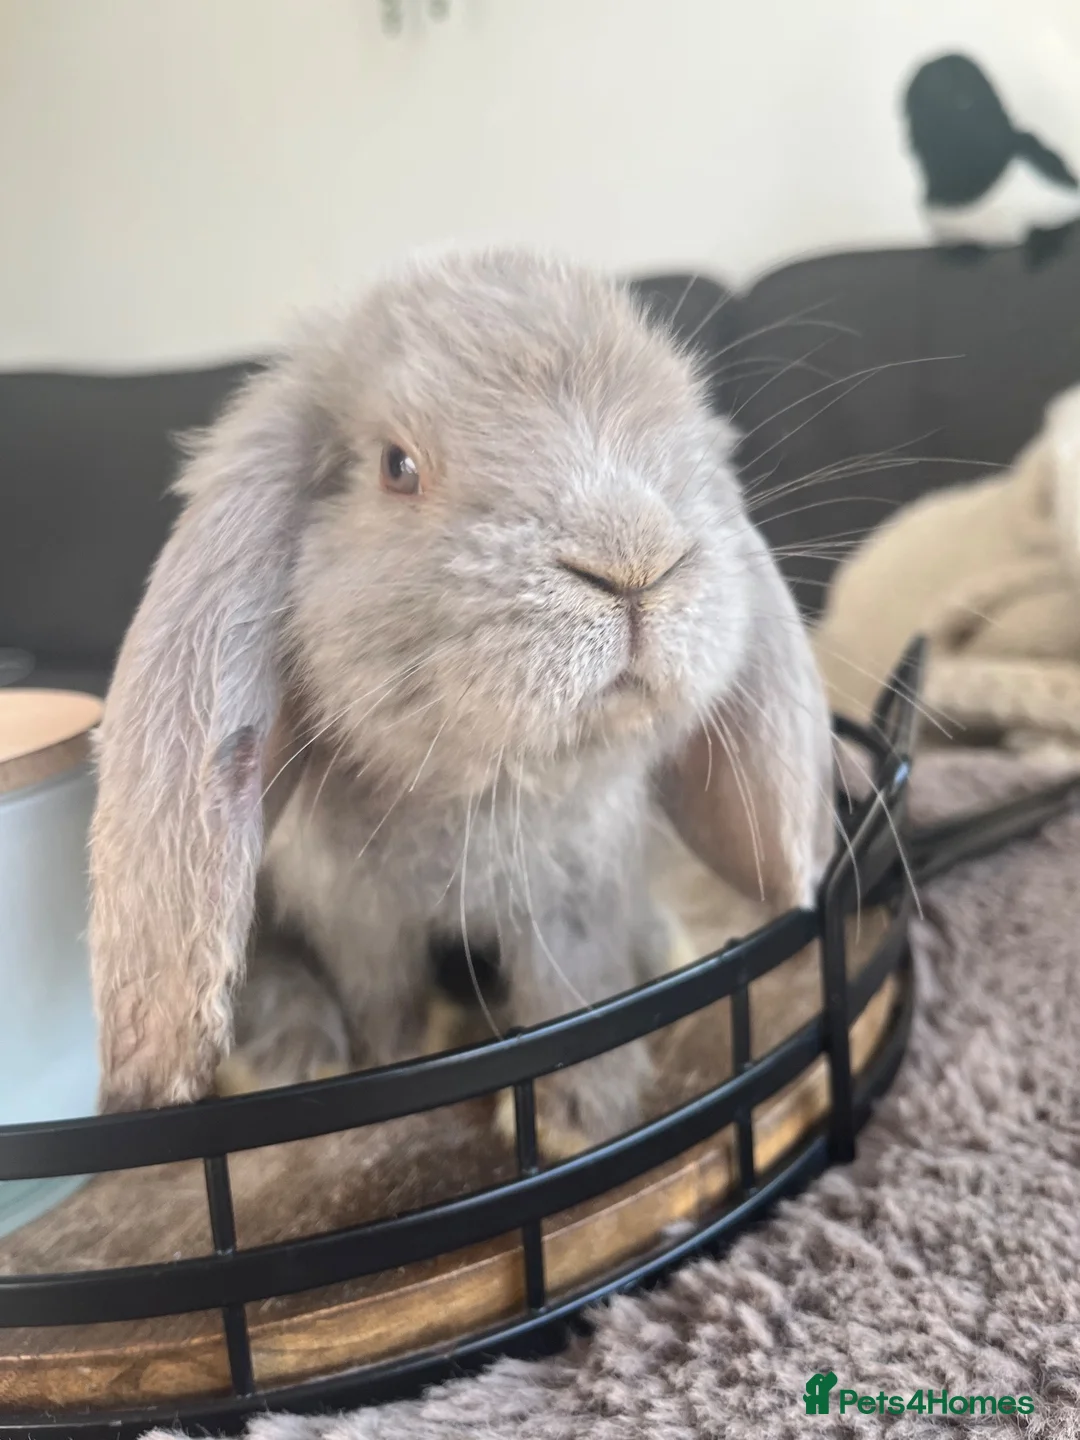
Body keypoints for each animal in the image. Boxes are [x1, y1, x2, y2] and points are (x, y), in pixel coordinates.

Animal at [89, 246, 834, 1154]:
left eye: (688, 442)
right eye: (396, 467)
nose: (634, 564)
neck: (486, 788)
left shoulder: (571, 904)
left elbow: (575, 997)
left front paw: (580, 1118)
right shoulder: (362, 923)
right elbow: (385, 1002)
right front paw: (395, 1075)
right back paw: (293, 1054)